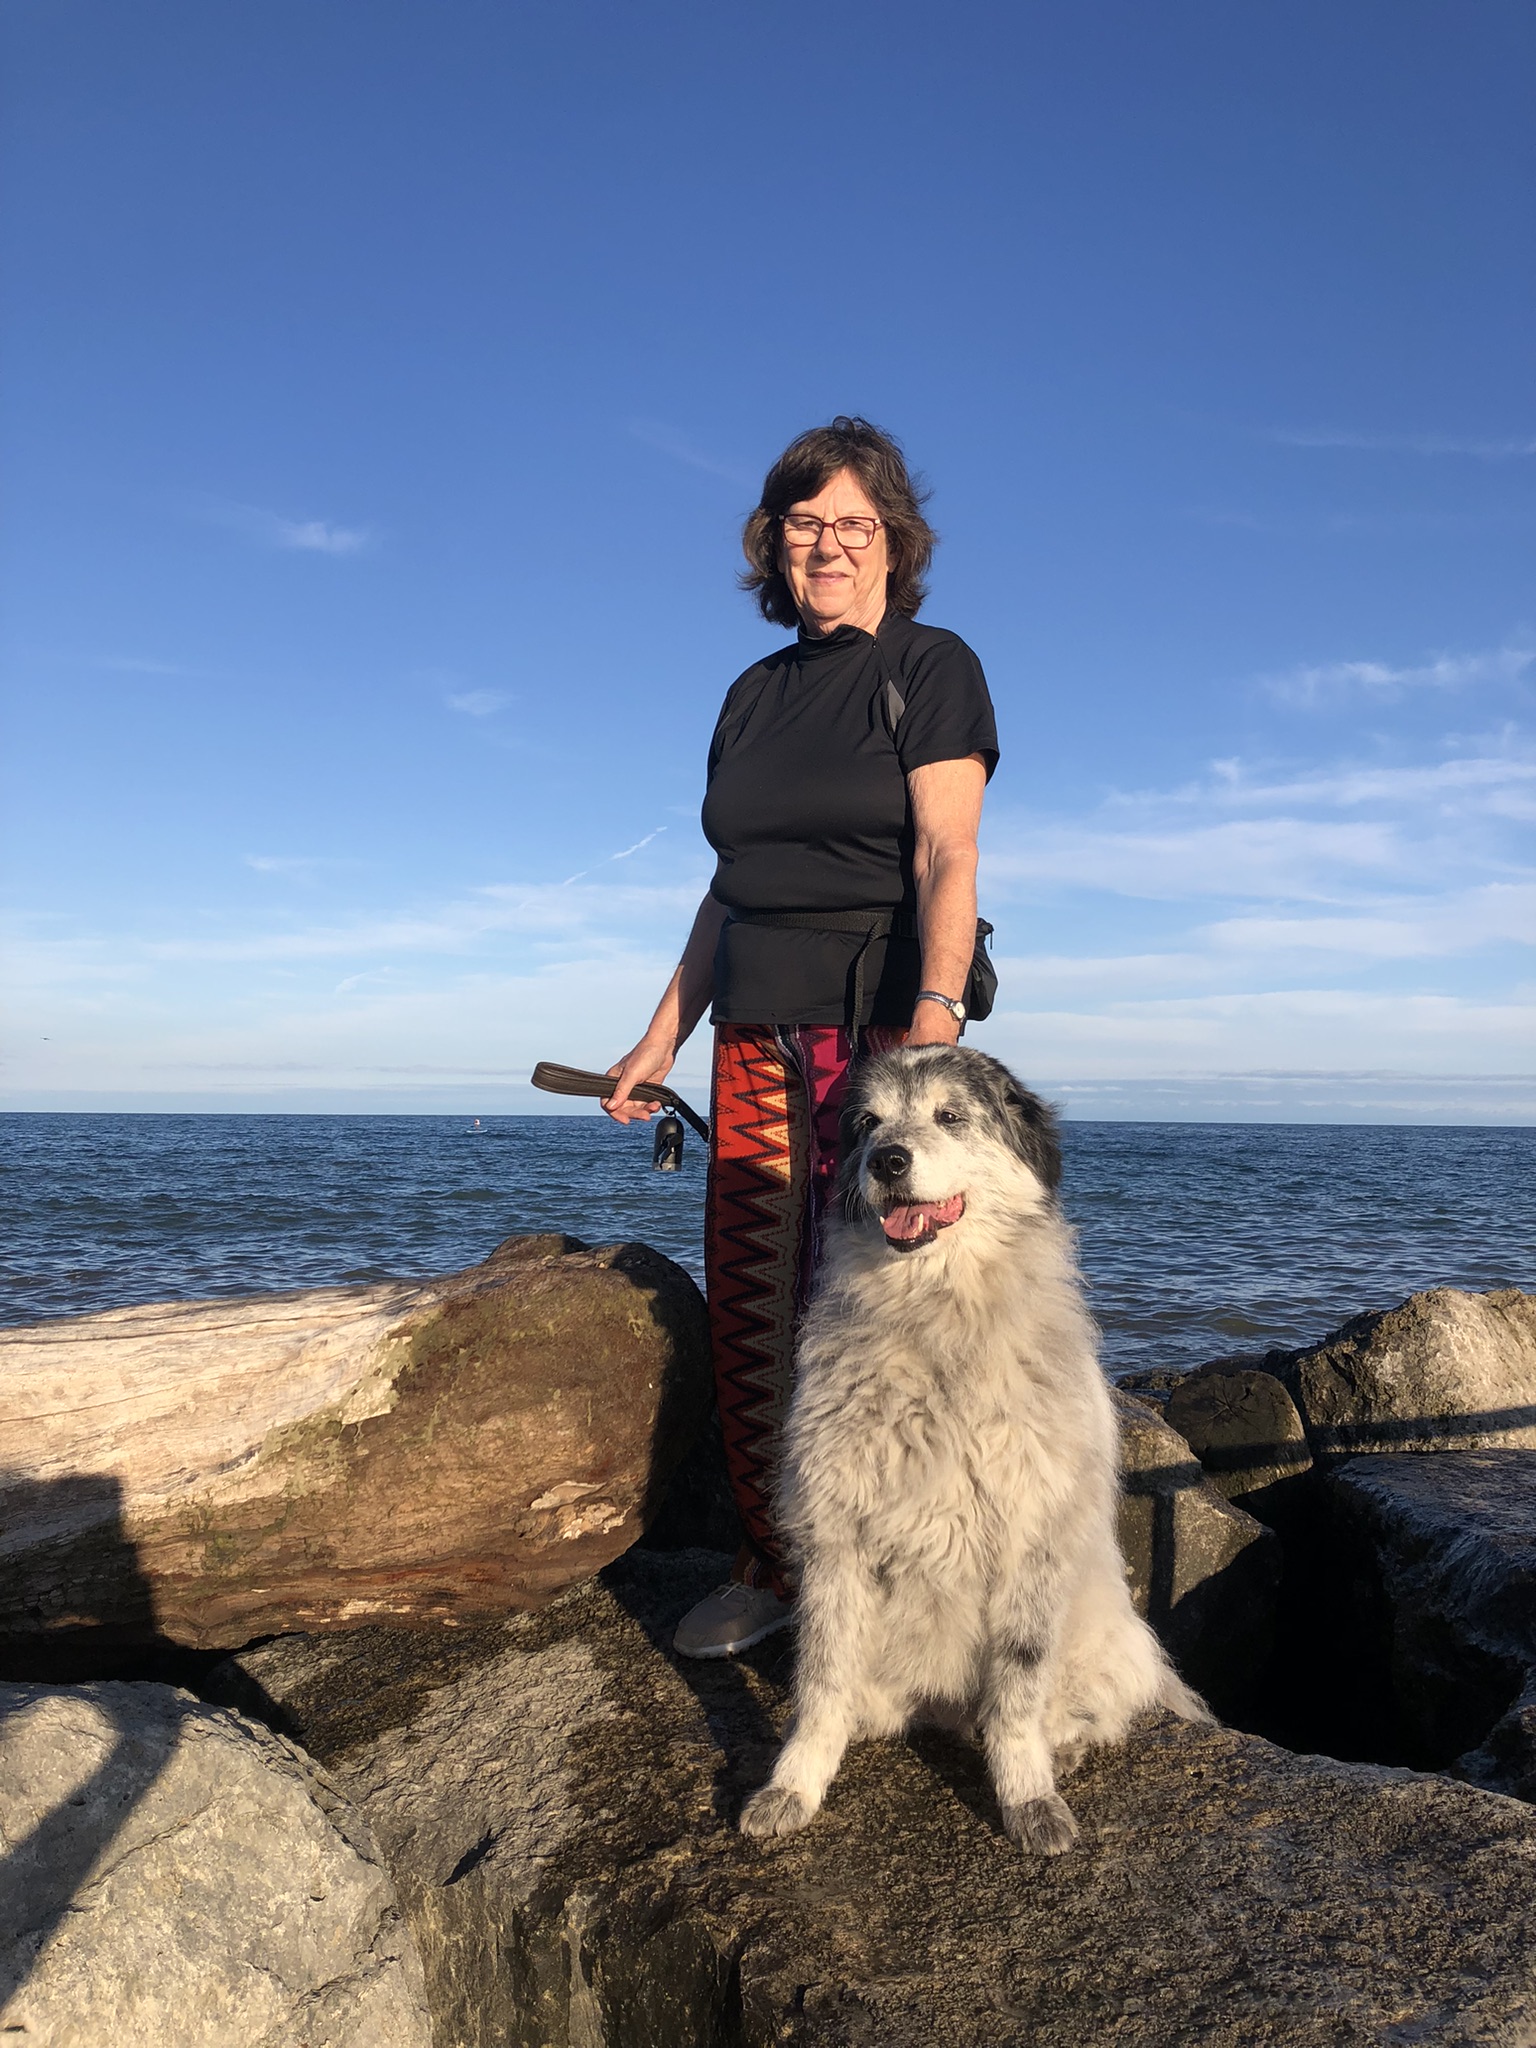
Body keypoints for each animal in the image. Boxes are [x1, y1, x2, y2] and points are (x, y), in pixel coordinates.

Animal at [741, 1048, 1212, 1851]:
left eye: (951, 1116)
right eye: (867, 1123)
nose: (888, 1160)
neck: (934, 1314)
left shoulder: (1030, 1539)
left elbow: (1016, 1699)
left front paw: (1028, 1798)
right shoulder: (837, 1541)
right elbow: (823, 1686)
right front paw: (793, 1785)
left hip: (1108, 1640)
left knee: (1070, 1710)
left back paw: (1063, 1747)